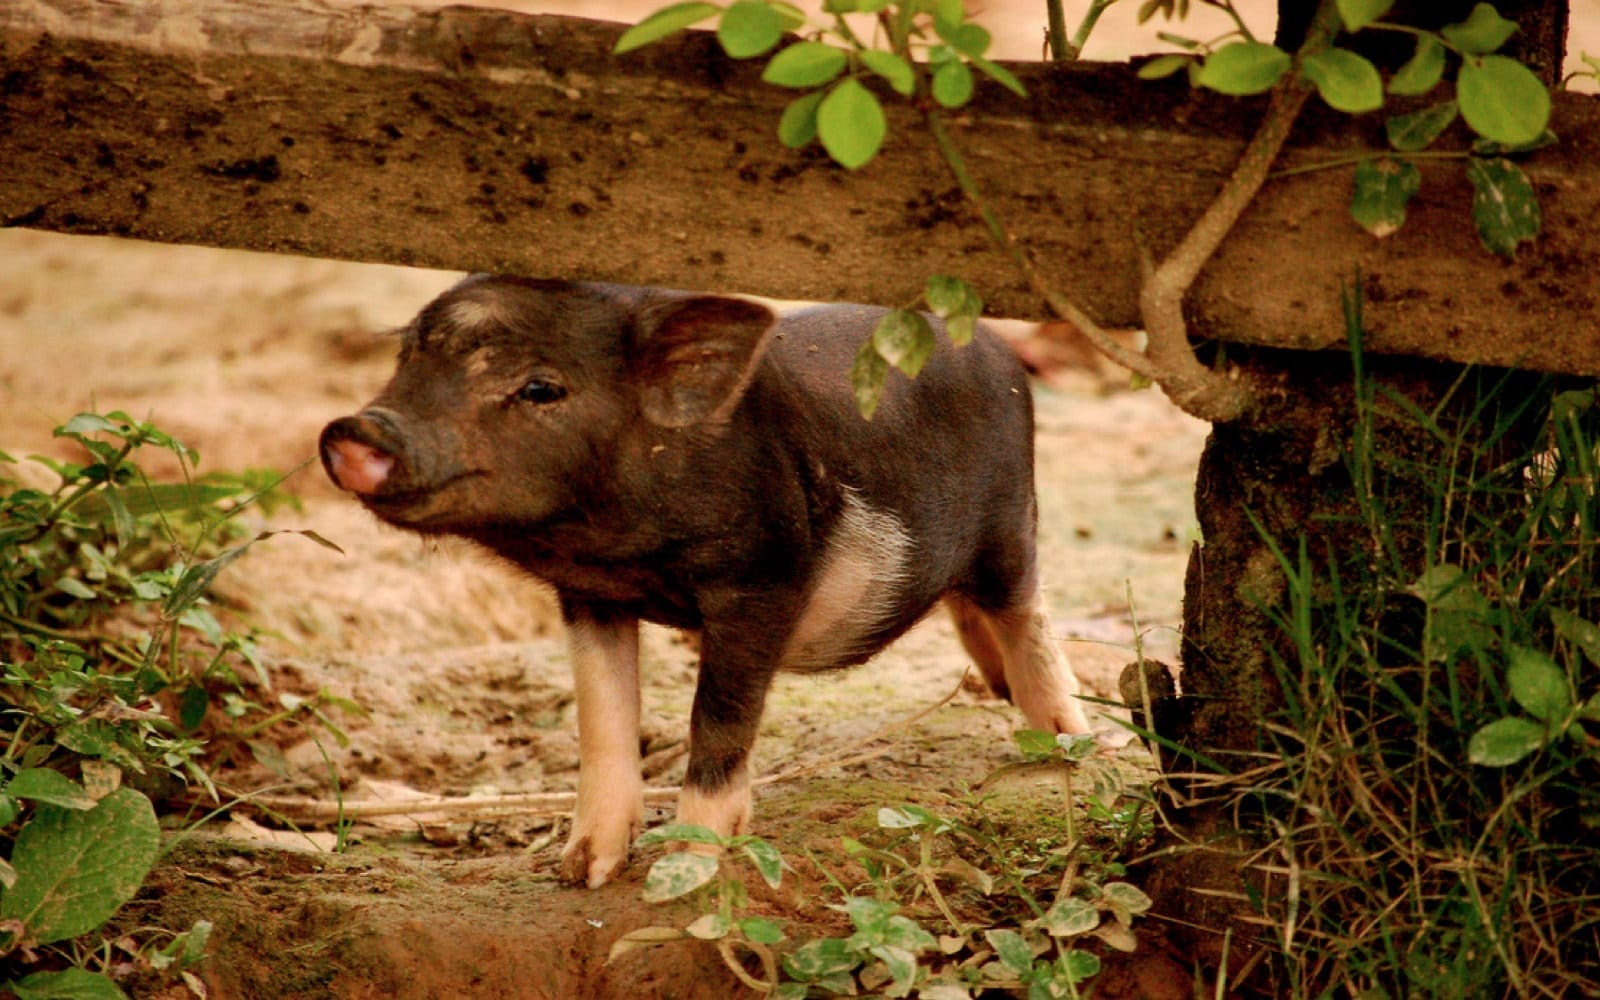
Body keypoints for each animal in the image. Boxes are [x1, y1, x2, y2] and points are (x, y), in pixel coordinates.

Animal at [320, 275, 1090, 888]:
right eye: (407, 354)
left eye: (541, 388)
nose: (355, 433)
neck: (624, 552)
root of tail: (995, 346)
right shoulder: (591, 596)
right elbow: (602, 715)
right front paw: (580, 872)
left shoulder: (761, 580)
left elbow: (718, 722)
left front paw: (683, 870)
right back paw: (999, 692)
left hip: (1011, 522)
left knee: (1029, 612)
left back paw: (1069, 744)